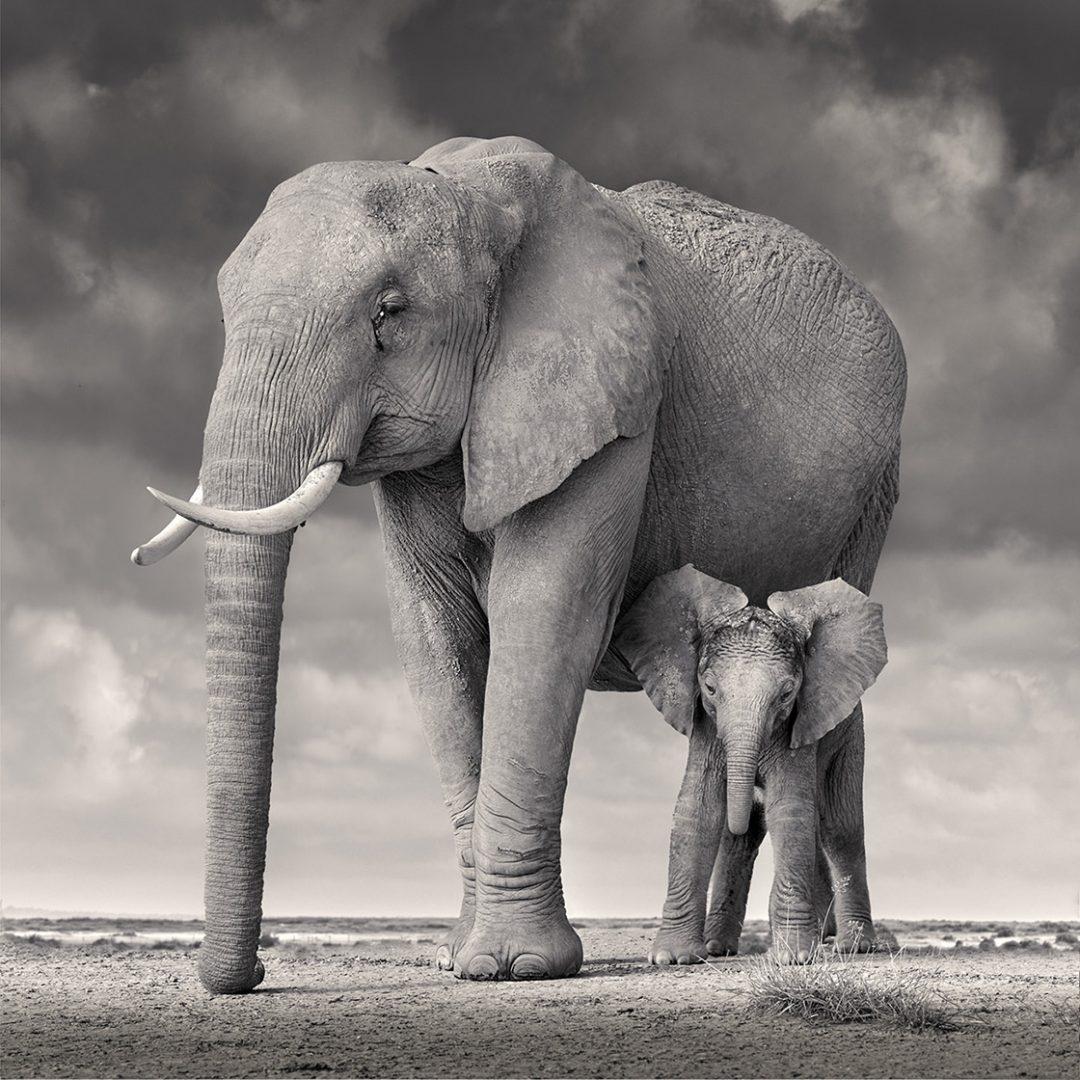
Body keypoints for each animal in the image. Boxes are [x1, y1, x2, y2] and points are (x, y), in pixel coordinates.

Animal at [613, 565, 889, 963]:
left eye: (787, 693)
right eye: (709, 688)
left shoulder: (798, 726)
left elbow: (790, 812)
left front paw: (794, 958)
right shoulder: (706, 725)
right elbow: (697, 811)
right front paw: (674, 958)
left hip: (849, 733)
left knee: (841, 829)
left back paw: (855, 947)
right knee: (741, 841)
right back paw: (718, 948)